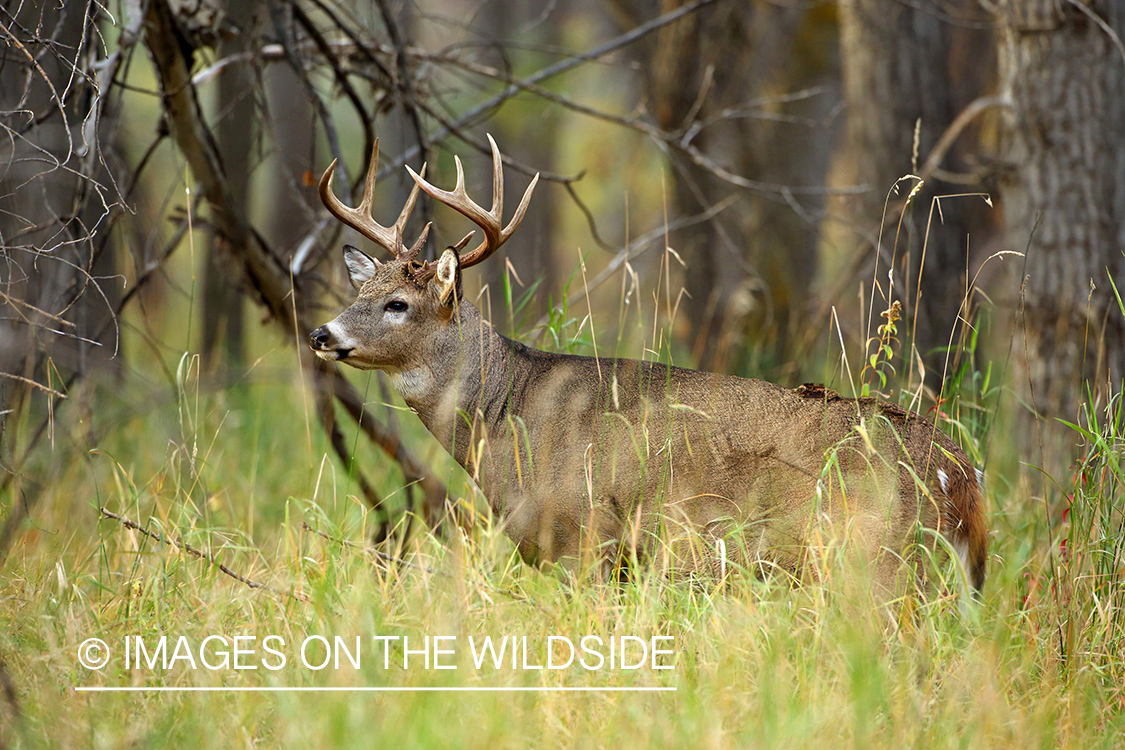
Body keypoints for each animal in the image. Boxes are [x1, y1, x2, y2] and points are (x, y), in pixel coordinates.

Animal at [308, 134, 985, 593]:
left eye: (398, 304)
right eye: (361, 292)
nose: (320, 333)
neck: (510, 418)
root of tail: (962, 475)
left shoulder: (590, 538)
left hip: (878, 560)